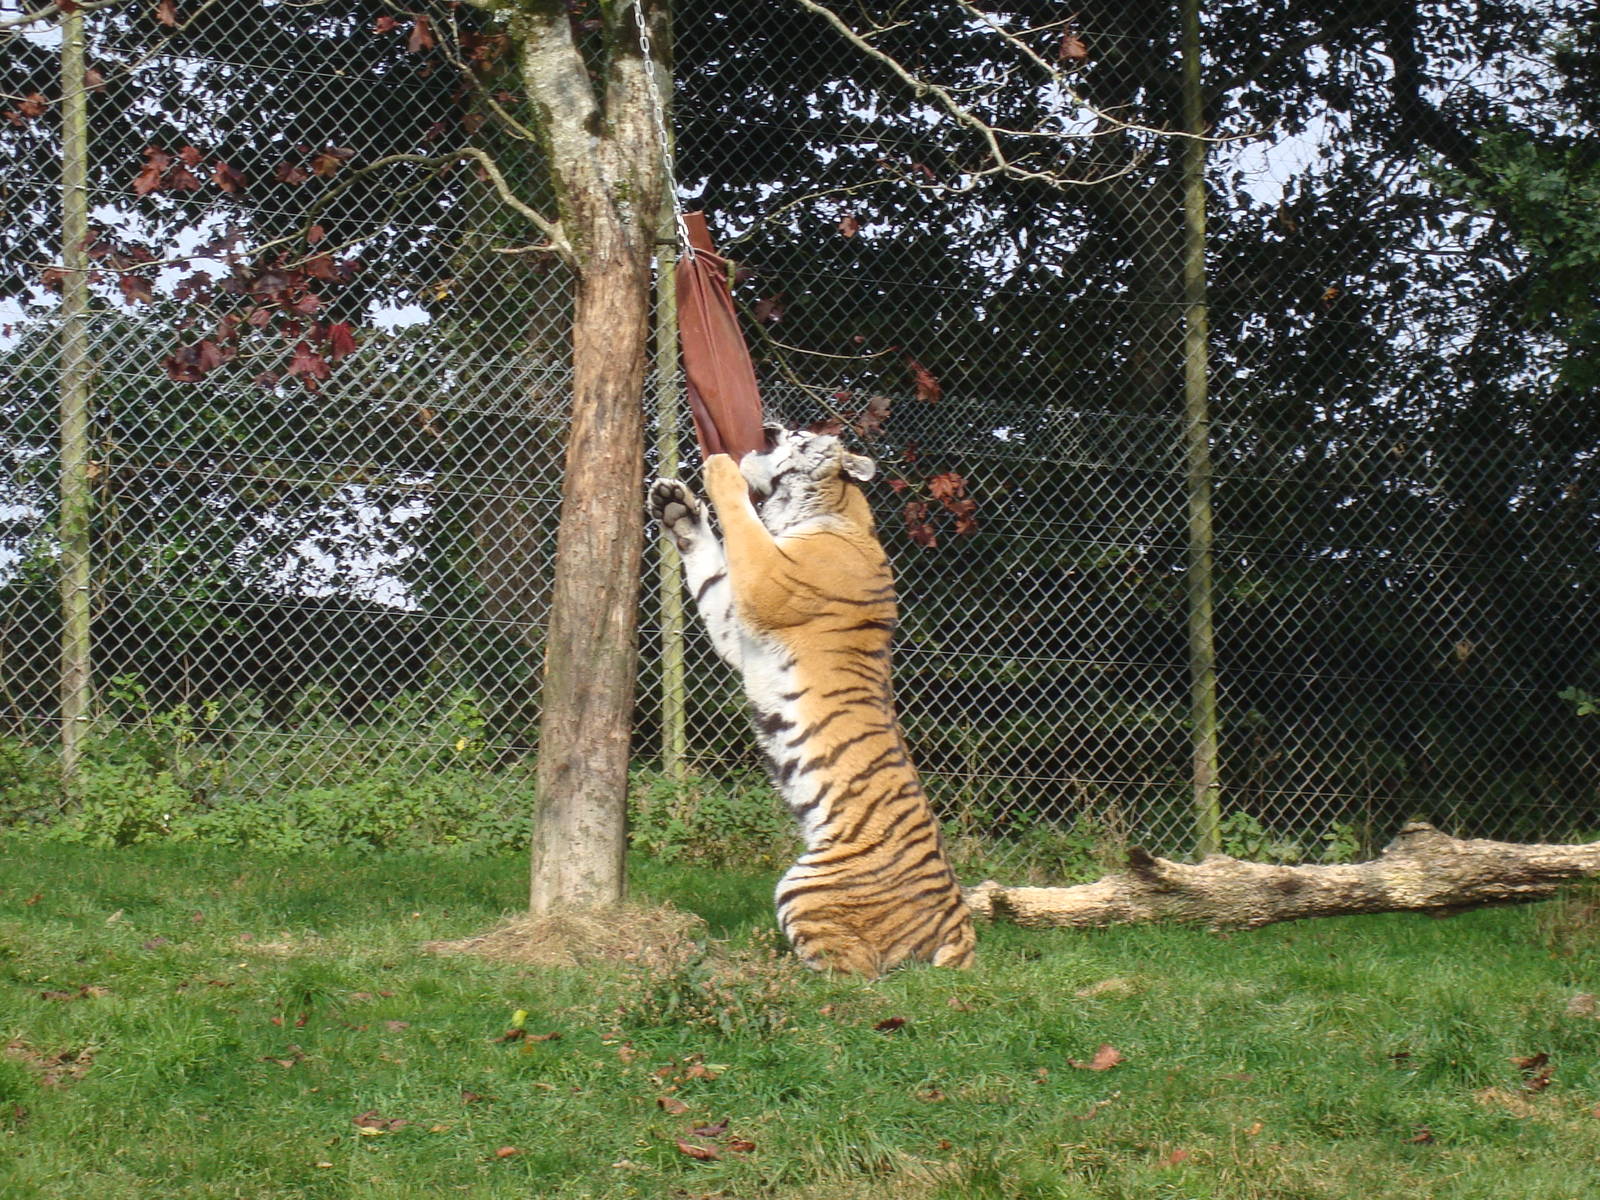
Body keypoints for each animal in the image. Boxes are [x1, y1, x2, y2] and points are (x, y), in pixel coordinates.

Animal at [649, 425, 976, 976]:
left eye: (801, 439)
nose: (772, 430)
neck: (830, 508)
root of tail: (961, 923)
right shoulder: (738, 629)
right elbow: (710, 569)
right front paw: (676, 507)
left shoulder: (766, 582)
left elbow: (741, 523)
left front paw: (720, 468)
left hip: (806, 887)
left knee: (856, 973)